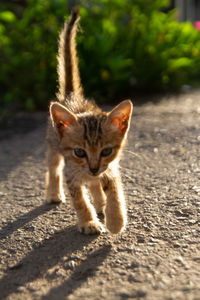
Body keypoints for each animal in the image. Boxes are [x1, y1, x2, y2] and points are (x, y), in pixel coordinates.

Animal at [45, 7, 133, 234]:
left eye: (106, 151)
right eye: (79, 152)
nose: (93, 168)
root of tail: (70, 96)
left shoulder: (111, 168)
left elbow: (115, 191)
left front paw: (115, 219)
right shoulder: (72, 174)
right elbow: (80, 201)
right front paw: (89, 222)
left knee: (94, 184)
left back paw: (100, 202)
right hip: (53, 147)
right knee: (54, 169)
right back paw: (54, 193)